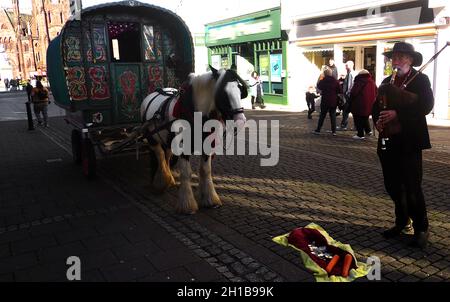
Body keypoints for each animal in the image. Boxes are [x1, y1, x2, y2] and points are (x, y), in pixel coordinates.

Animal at [140, 65, 248, 215]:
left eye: (240, 90)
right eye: (223, 94)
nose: (241, 121)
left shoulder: (208, 146)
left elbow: (205, 170)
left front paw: (209, 199)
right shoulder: (183, 147)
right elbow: (186, 173)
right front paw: (187, 205)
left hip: (167, 140)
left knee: (166, 155)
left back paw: (169, 178)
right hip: (152, 139)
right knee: (160, 155)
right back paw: (162, 180)